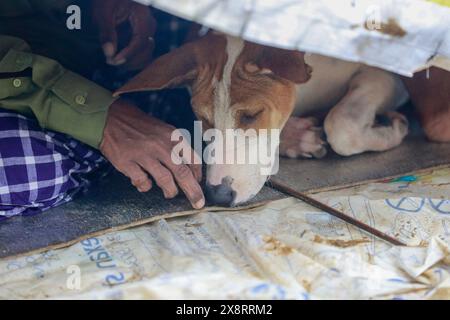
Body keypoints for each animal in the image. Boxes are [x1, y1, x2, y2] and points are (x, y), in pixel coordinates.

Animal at [116, 32, 412, 206]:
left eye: (252, 115)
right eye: (203, 118)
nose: (218, 196)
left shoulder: (390, 75)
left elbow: (340, 126)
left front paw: (394, 129)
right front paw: (297, 139)